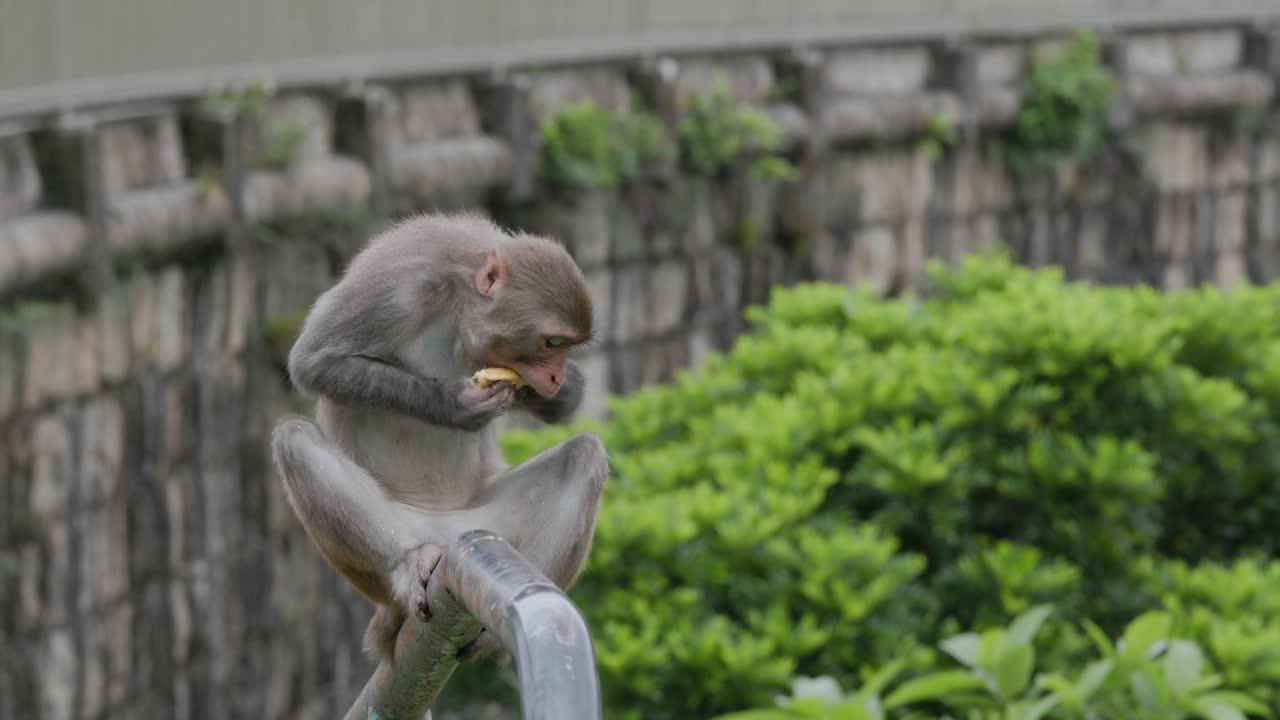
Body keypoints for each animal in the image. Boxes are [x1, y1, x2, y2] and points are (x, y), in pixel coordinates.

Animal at [270, 212, 608, 662]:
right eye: (551, 342)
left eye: (566, 346)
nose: (553, 376)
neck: (460, 302)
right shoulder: (394, 284)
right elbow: (314, 361)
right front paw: (452, 405)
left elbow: (566, 408)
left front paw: (541, 391)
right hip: (384, 552)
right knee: (293, 438)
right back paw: (409, 562)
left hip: (486, 526)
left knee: (584, 456)